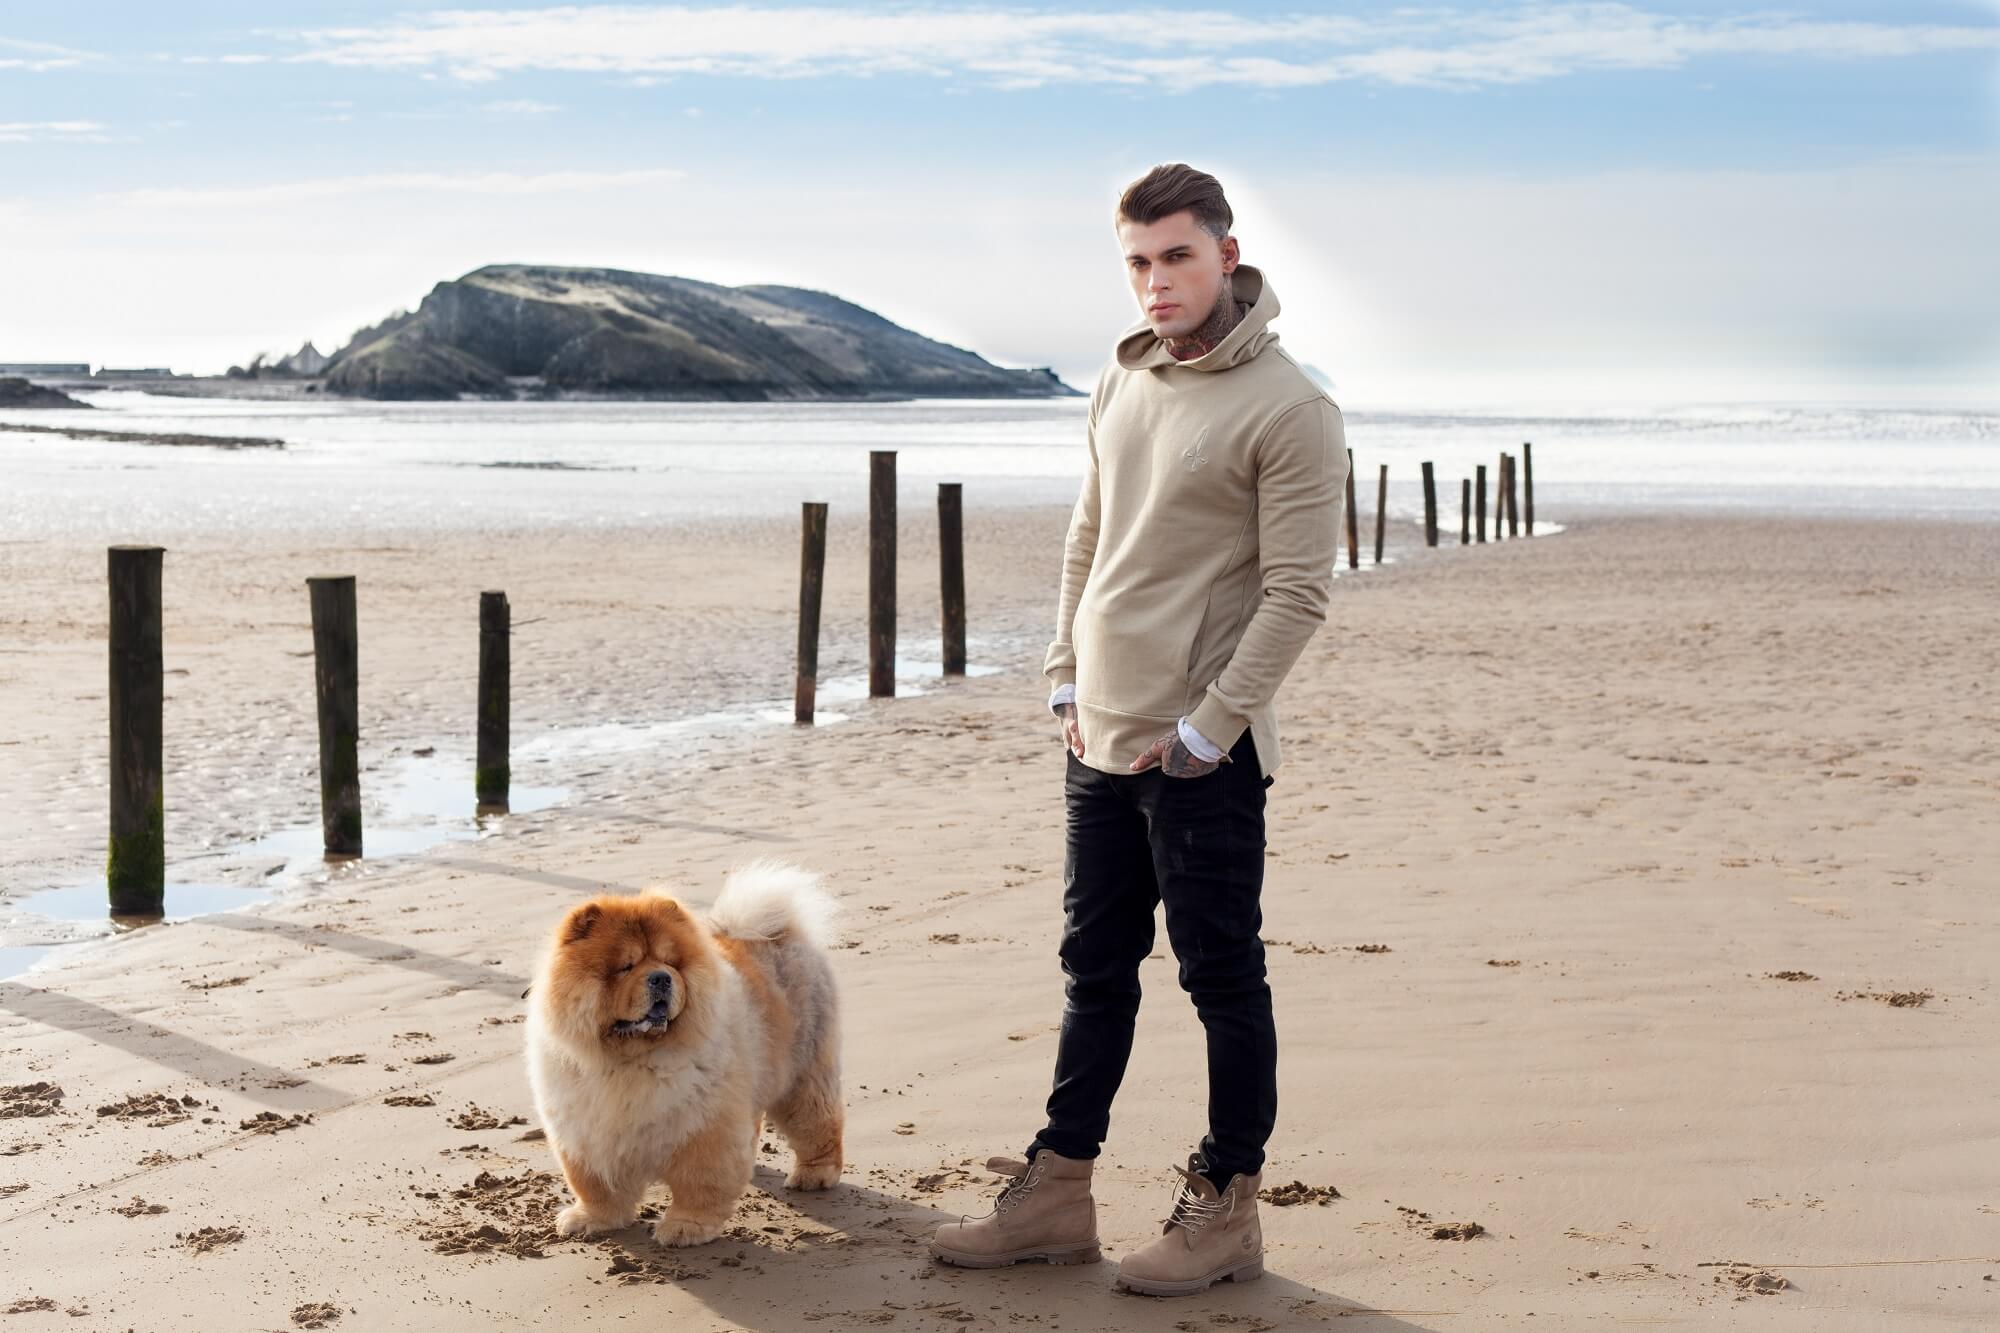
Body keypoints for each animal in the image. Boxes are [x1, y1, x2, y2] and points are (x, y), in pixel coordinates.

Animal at [524, 856, 844, 1240]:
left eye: (671, 963)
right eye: (625, 967)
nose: (661, 978)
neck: (629, 1061)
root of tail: (780, 933)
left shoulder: (705, 1126)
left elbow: (699, 1183)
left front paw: (685, 1227)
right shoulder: (585, 1130)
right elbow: (594, 1185)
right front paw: (591, 1219)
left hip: (804, 1076)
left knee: (818, 1124)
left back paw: (814, 1175)